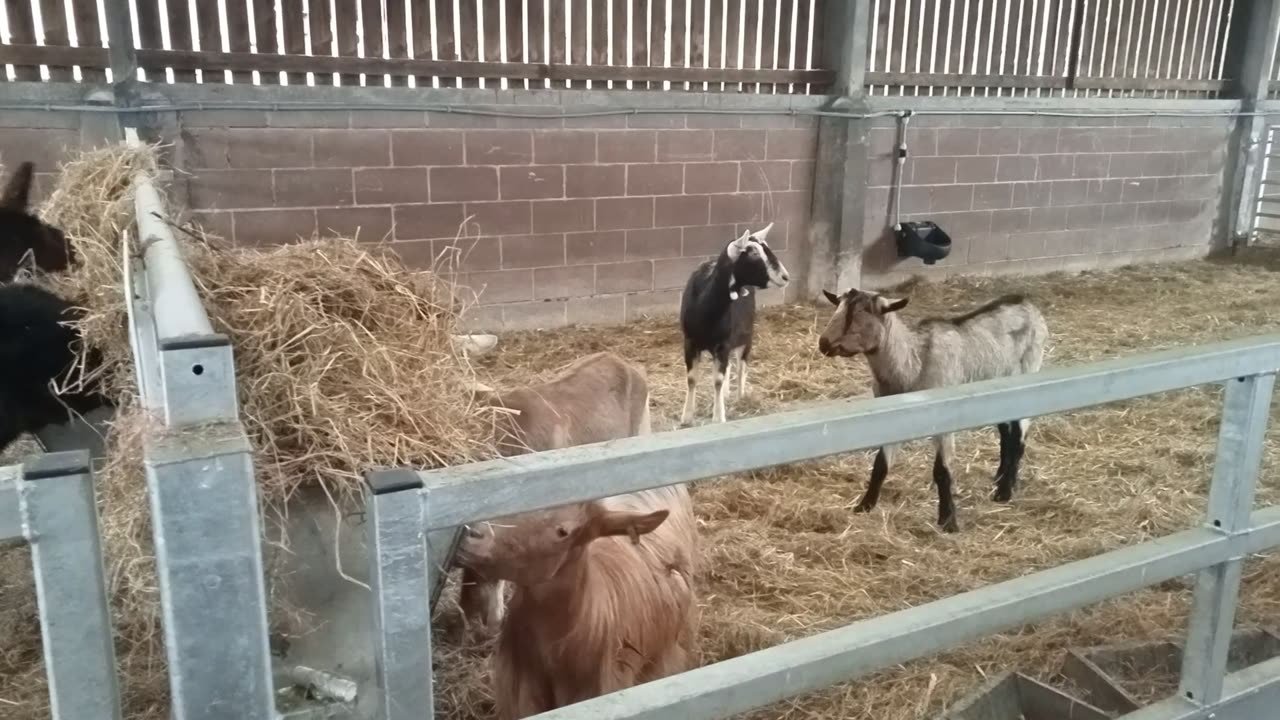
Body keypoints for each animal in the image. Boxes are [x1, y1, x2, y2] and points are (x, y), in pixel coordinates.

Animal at [680, 224, 788, 422]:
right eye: (753, 253)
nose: (785, 277)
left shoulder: (723, 343)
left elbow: (717, 380)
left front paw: (718, 417)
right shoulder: (690, 341)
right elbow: (691, 378)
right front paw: (687, 417)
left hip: (746, 335)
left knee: (741, 365)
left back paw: (740, 396)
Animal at [819, 288, 1049, 530]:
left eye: (862, 312)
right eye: (838, 306)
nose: (824, 343)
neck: (914, 362)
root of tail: (1025, 301)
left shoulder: (944, 419)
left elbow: (942, 471)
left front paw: (948, 520)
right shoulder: (891, 418)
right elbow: (881, 464)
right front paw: (865, 505)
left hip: (1029, 370)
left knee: (1019, 437)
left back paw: (1005, 490)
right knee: (1006, 433)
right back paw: (1000, 478)